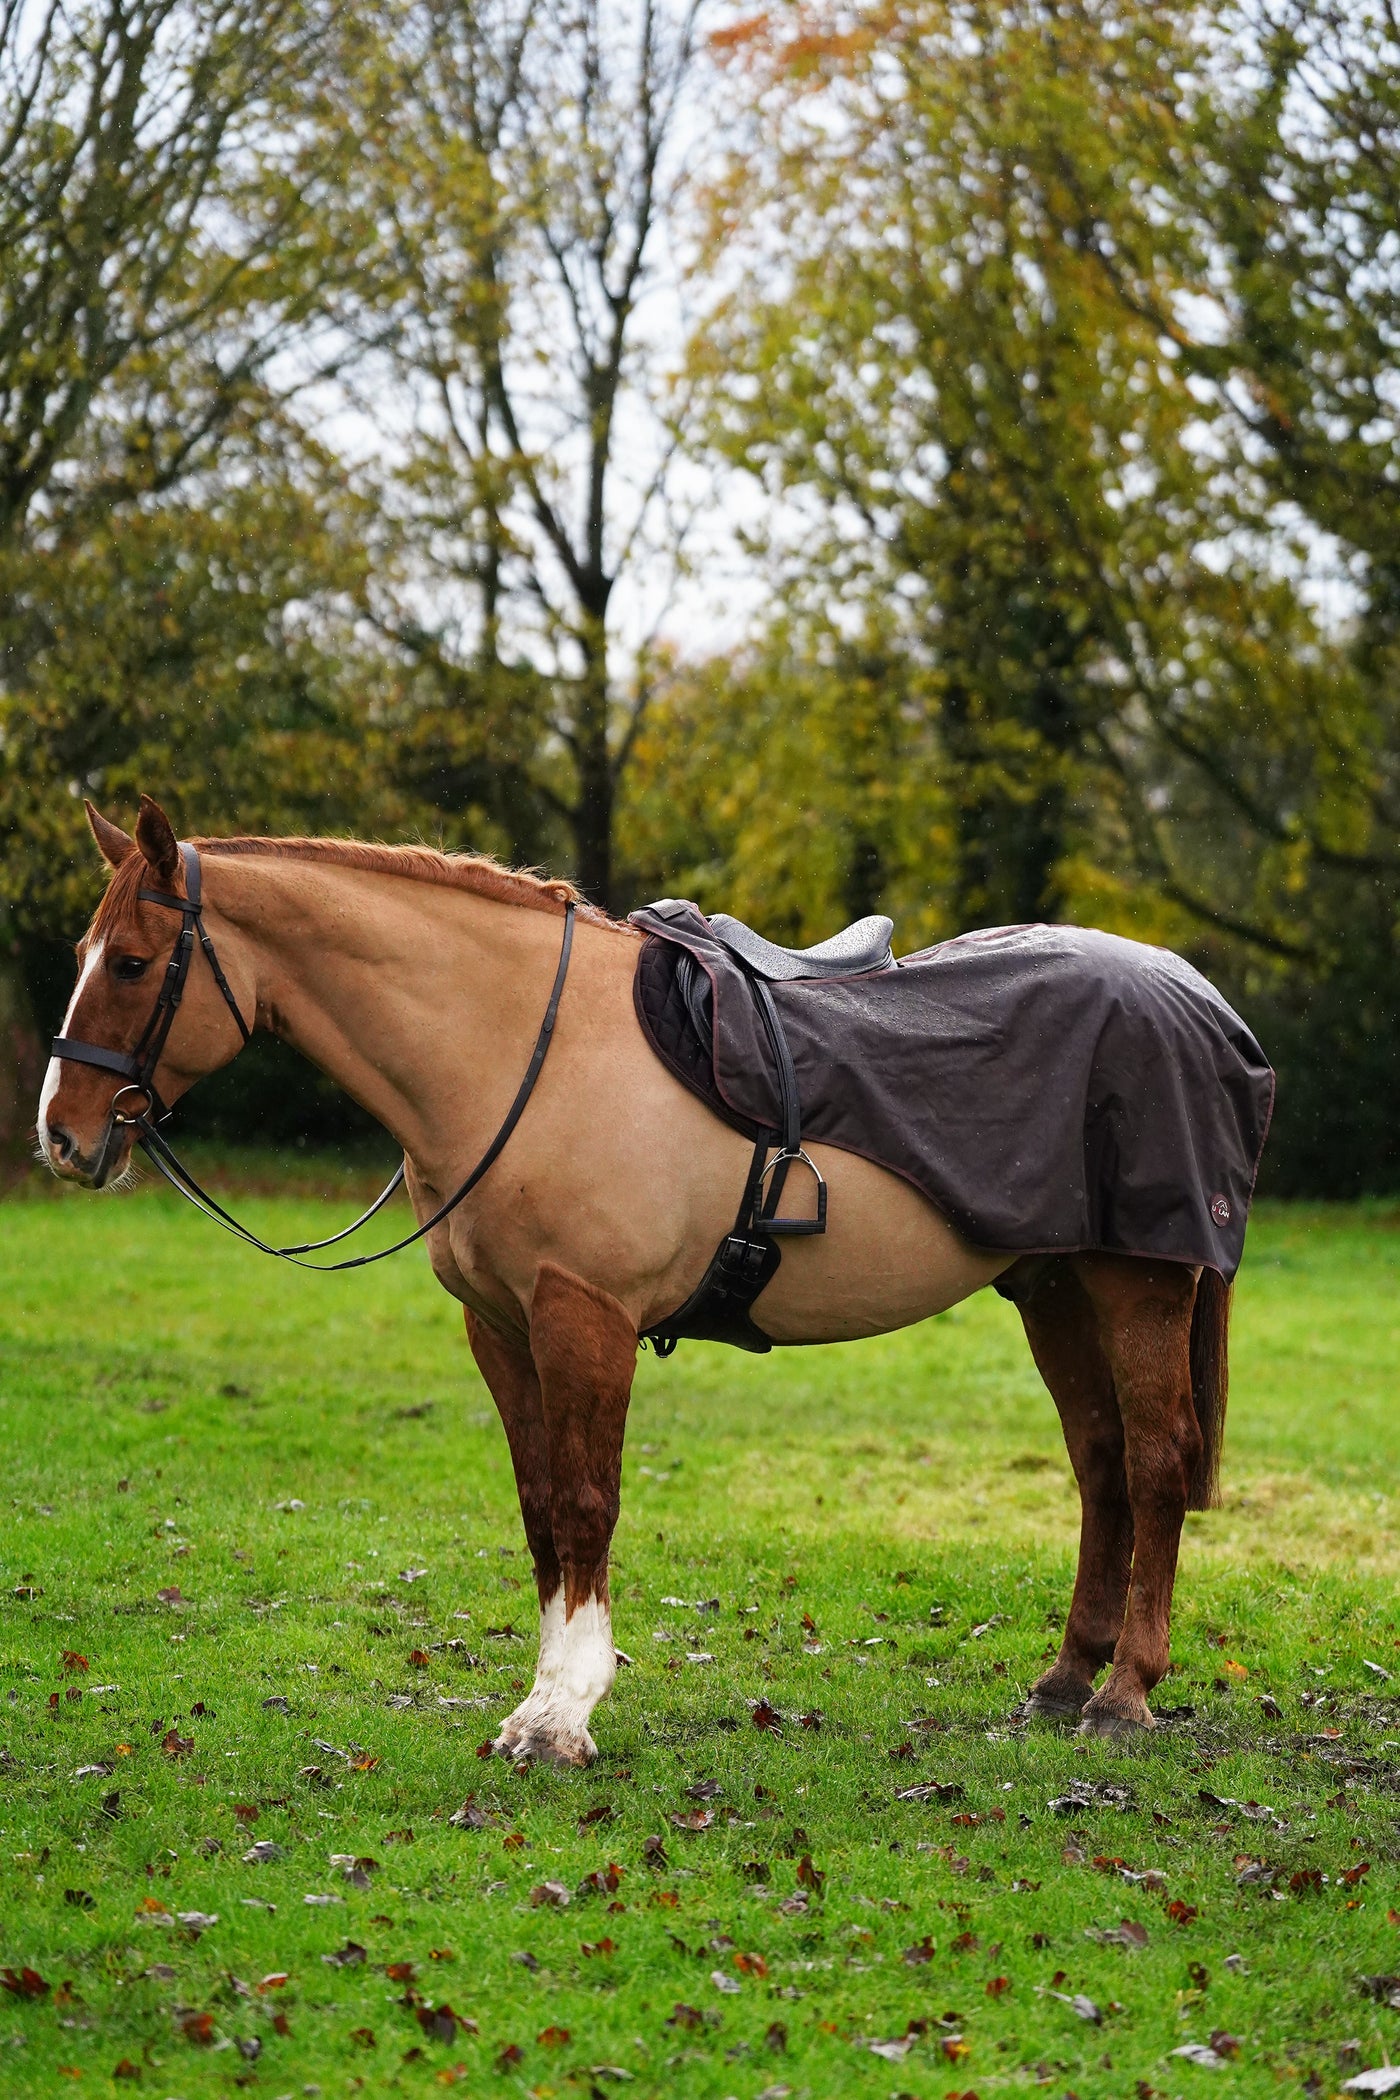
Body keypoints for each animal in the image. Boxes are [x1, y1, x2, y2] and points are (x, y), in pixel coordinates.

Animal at [38, 793, 1250, 1763]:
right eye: (85, 954)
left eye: (134, 963)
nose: (60, 1137)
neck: (517, 1047)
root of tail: (1199, 999)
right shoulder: (501, 1327)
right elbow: (539, 1503)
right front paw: (538, 1699)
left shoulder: (587, 1317)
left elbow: (587, 1501)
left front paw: (565, 1713)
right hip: (1056, 1290)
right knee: (1099, 1466)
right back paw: (1062, 1682)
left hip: (1138, 1285)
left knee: (1153, 1465)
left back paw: (1124, 1697)